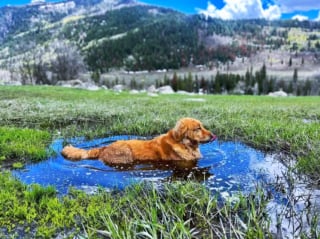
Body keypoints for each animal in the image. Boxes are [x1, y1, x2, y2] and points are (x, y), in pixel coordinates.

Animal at [61, 117, 216, 165]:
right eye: (198, 128)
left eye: (202, 126)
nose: (213, 135)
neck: (184, 144)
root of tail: (105, 148)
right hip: (126, 153)